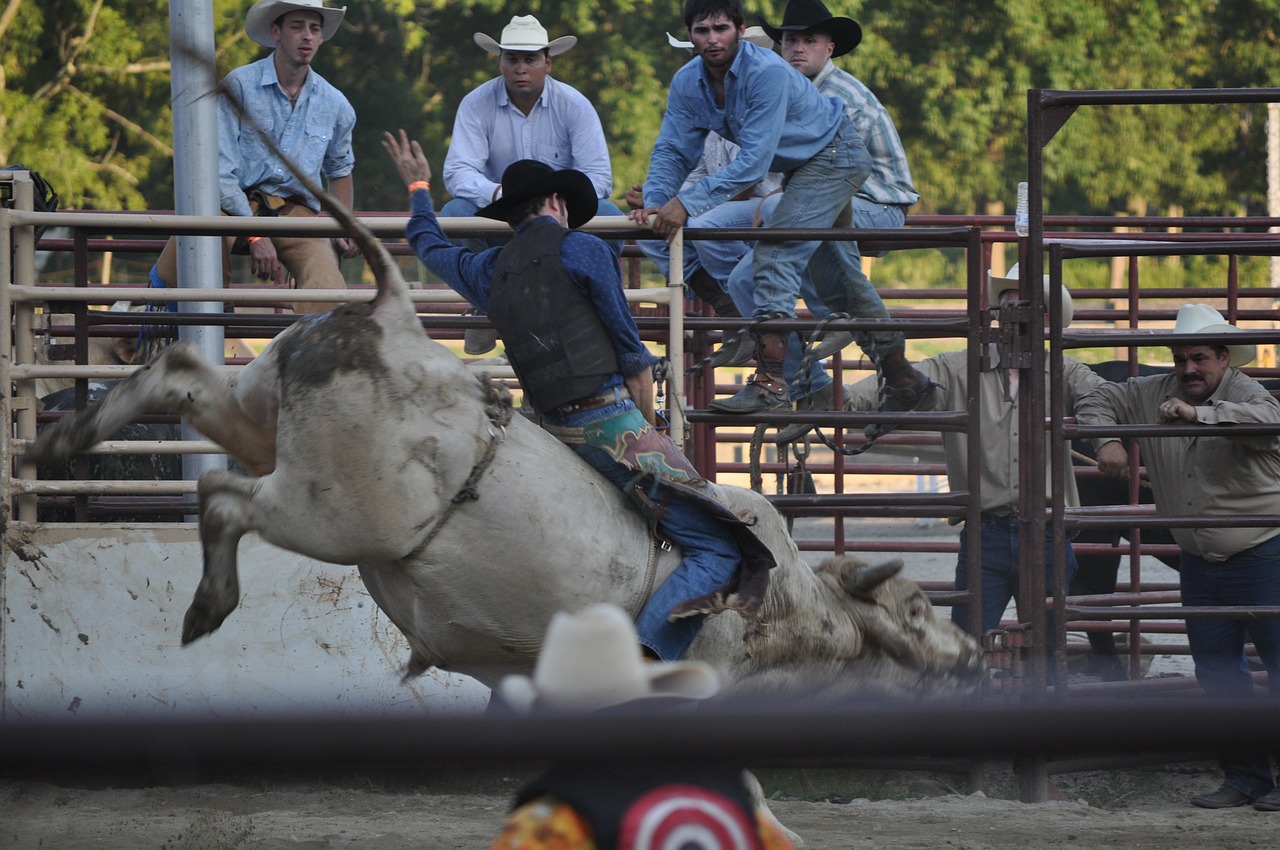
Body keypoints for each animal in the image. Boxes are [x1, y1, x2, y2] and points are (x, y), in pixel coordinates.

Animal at [27, 154, 977, 701]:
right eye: (918, 605)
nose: (973, 655)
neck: (785, 601)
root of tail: (393, 317)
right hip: (331, 512)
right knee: (226, 497)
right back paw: (206, 604)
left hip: (262, 411)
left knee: (180, 382)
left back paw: (65, 439)